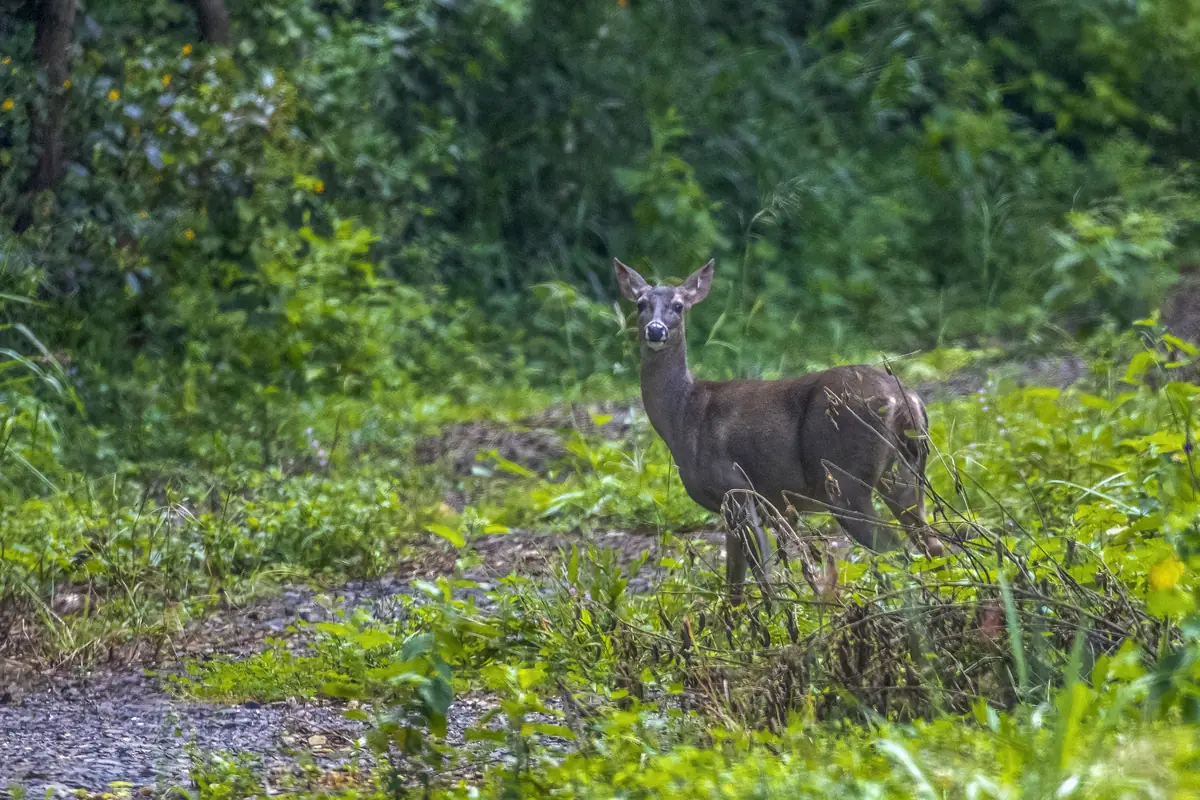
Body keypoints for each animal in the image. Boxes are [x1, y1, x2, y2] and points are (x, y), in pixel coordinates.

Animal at [614, 257, 945, 604]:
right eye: (640, 304)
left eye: (679, 306)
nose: (655, 330)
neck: (685, 415)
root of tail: (905, 400)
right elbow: (737, 584)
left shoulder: (736, 489)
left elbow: (759, 578)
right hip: (904, 474)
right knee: (931, 546)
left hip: (844, 479)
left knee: (897, 551)